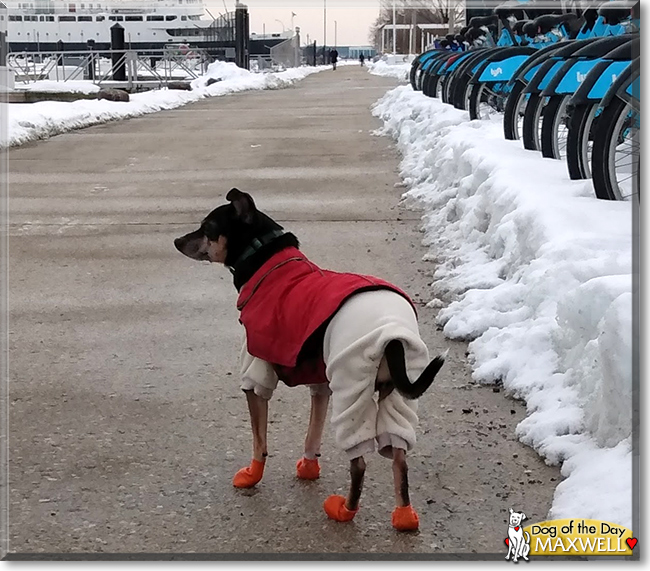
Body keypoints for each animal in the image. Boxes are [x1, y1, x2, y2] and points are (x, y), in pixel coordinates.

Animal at [173, 190, 446, 536]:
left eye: (207, 227)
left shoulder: (256, 372)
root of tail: (392, 333)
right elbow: (313, 432)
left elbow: (259, 439)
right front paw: (308, 467)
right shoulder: (321, 384)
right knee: (399, 457)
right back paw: (404, 517)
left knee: (360, 462)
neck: (265, 258)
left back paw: (343, 510)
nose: (177, 240)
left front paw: (251, 475)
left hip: (352, 388)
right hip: (395, 392)